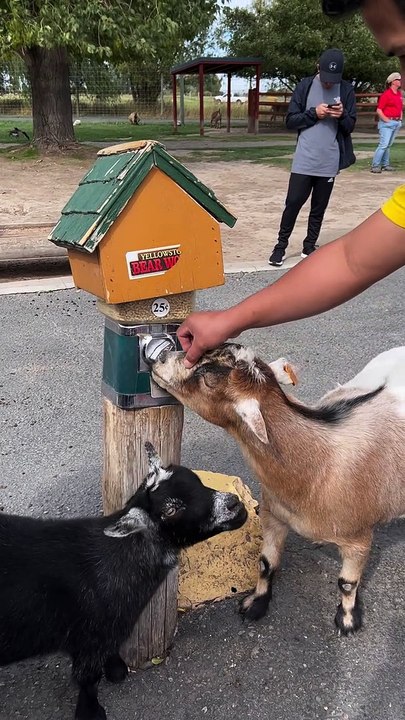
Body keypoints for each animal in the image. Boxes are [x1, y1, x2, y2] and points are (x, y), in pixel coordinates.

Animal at [0, 442, 247, 720]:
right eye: (171, 510)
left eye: (195, 478)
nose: (235, 504)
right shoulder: (90, 640)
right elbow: (88, 680)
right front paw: (91, 712)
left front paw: (116, 668)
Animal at [151, 344, 405, 636]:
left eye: (207, 378)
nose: (160, 357)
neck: (317, 468)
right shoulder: (274, 515)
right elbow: (266, 563)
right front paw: (256, 604)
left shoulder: (359, 539)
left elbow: (347, 582)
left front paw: (348, 620)